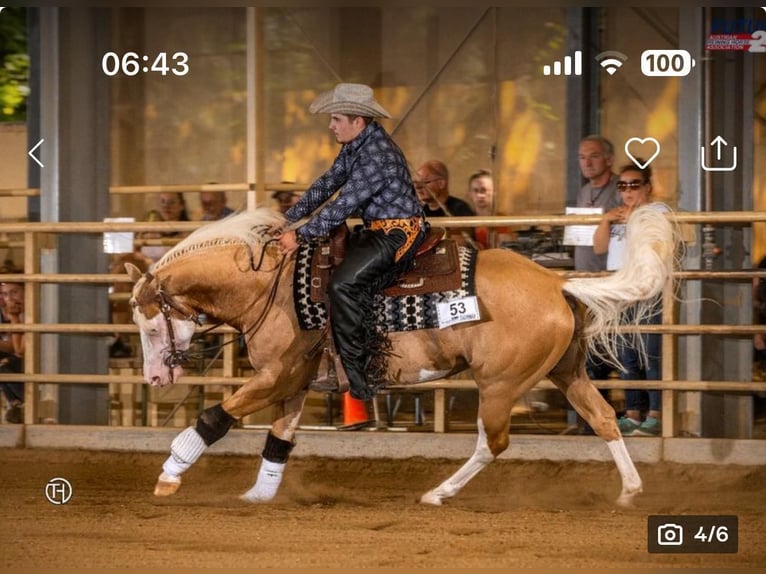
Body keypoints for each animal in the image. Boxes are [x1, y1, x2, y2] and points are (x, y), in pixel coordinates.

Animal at [127, 205, 676, 507]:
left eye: (151, 324)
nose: (154, 379)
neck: (272, 288)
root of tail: (556, 282)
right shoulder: (294, 384)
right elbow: (278, 441)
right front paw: (259, 497)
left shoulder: (275, 377)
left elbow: (214, 418)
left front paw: (169, 474)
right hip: (567, 374)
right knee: (603, 419)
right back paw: (629, 491)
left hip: (500, 385)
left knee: (492, 442)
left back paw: (438, 493)